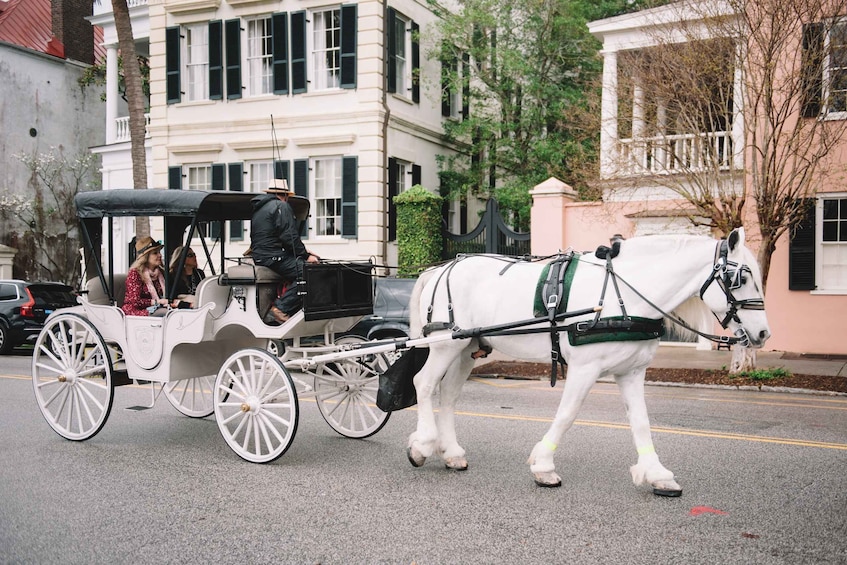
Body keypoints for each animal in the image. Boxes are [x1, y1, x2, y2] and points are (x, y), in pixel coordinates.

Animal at [408, 228, 772, 494]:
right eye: (741, 277)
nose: (764, 333)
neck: (621, 296)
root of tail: (441, 268)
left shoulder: (631, 372)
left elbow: (641, 423)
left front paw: (657, 474)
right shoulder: (585, 368)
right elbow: (567, 414)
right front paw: (544, 466)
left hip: (466, 347)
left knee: (449, 395)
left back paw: (452, 453)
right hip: (444, 344)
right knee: (423, 384)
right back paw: (422, 445)